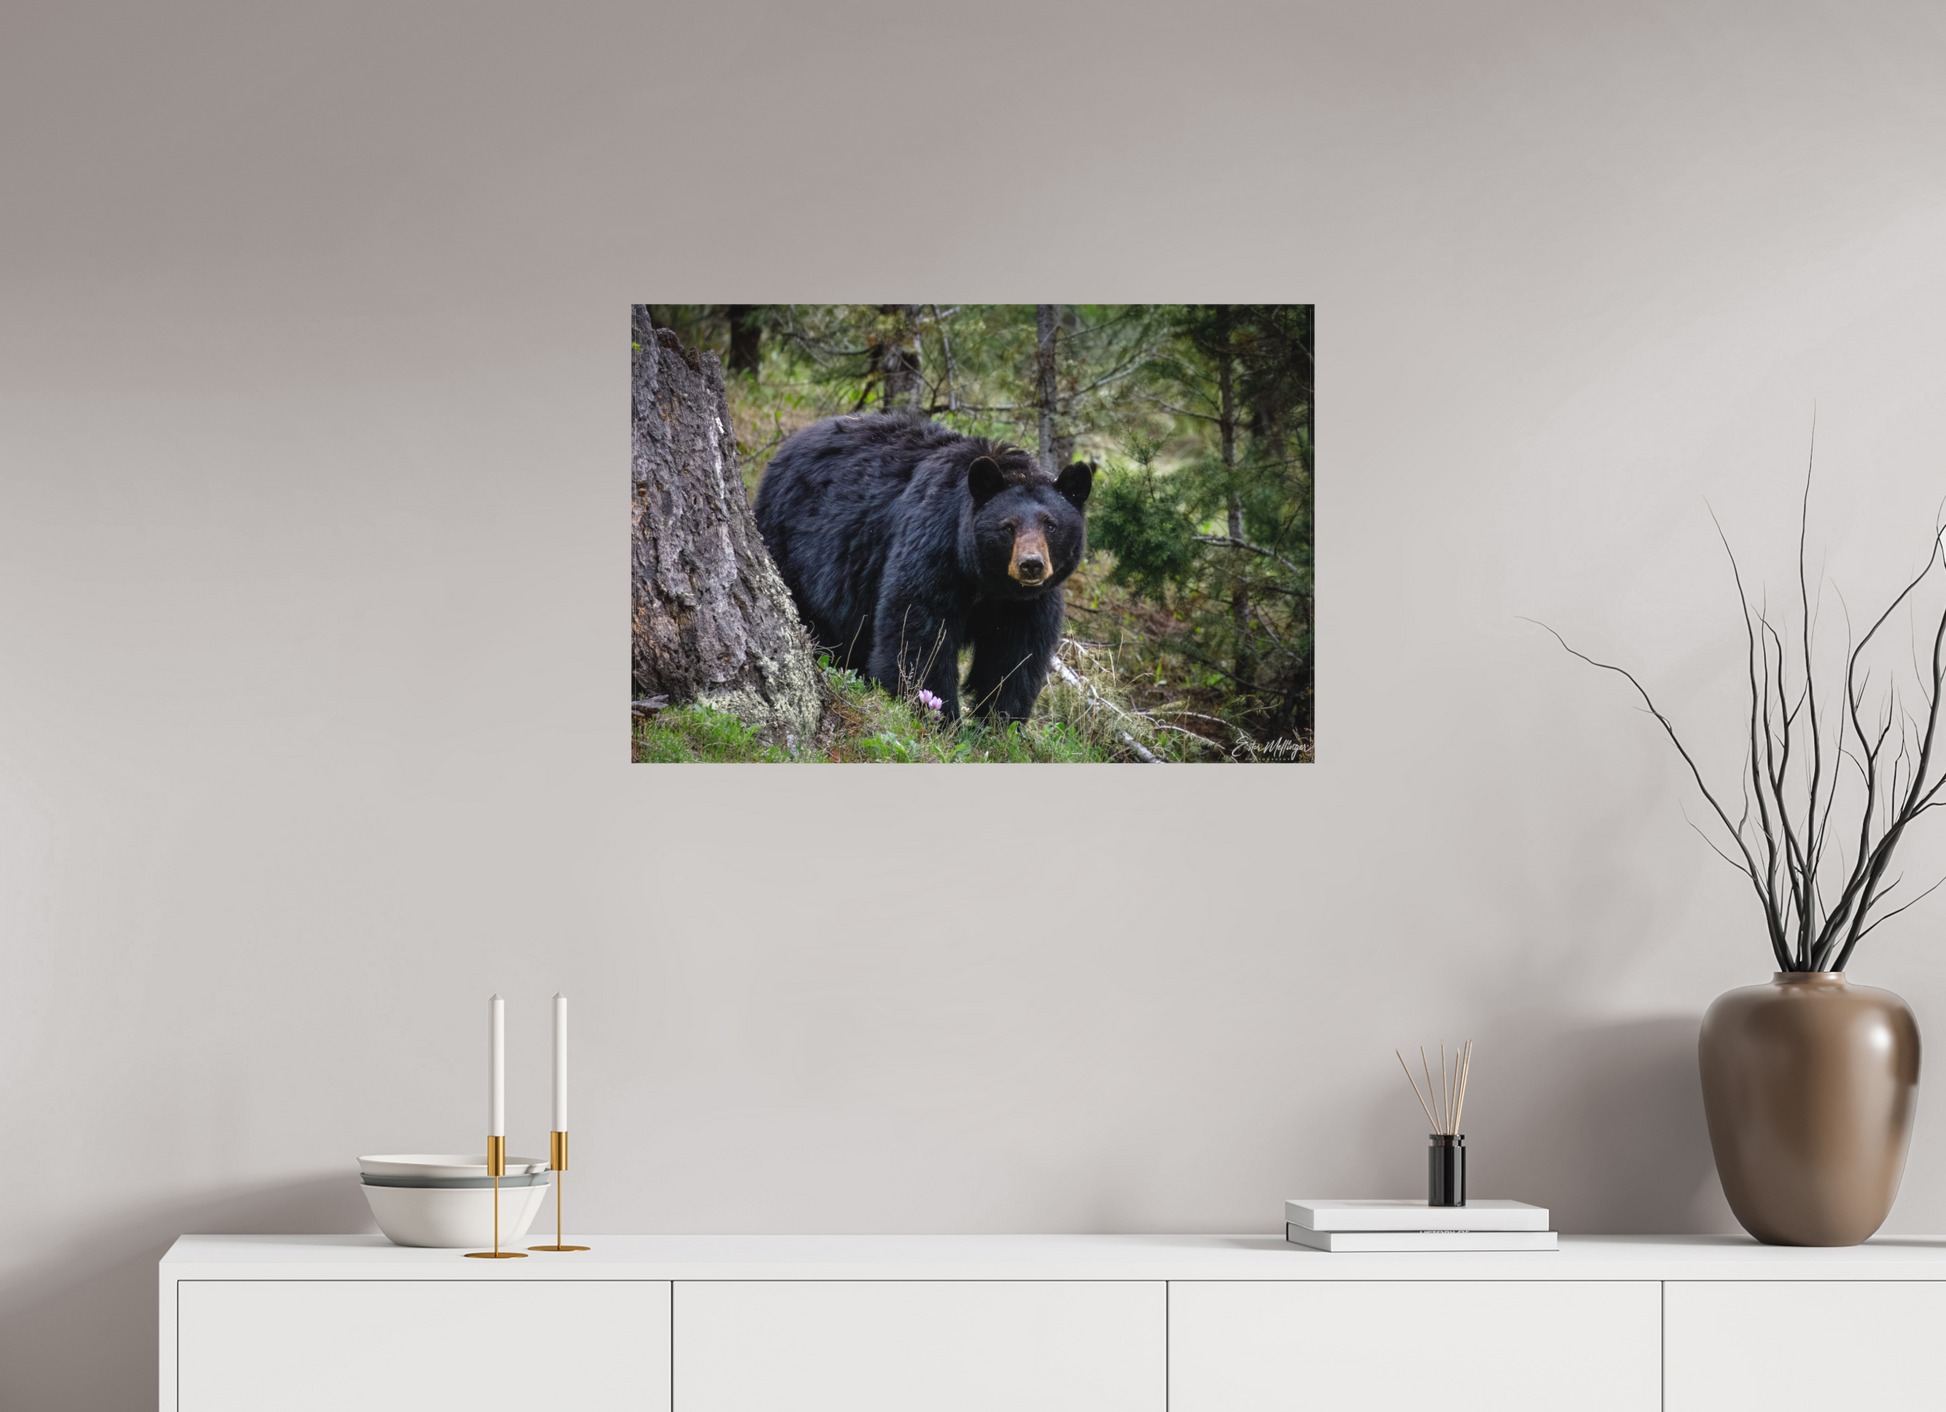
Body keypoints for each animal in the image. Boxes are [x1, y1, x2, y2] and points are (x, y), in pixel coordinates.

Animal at [753, 414, 1093, 722]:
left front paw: (1000, 723)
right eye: (1007, 527)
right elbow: (918, 628)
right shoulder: (934, 546)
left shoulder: (1026, 603)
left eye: (1051, 525)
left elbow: (1015, 654)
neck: (987, 581)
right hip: (791, 543)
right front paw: (938, 715)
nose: (1031, 565)